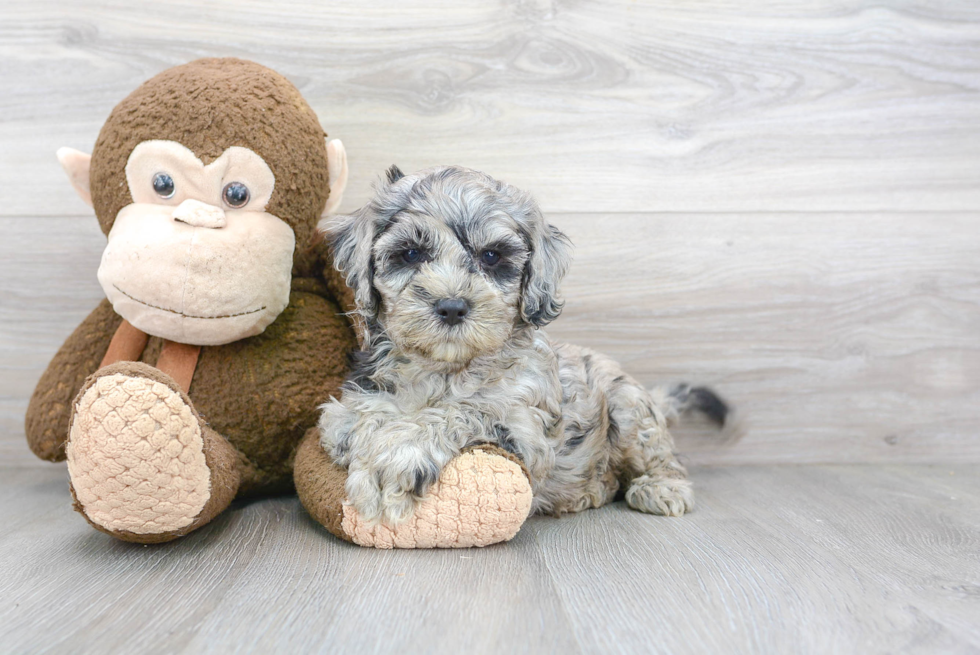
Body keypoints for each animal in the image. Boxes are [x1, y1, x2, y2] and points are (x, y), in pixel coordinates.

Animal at [318, 165, 724, 528]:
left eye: (491, 256)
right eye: (411, 254)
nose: (452, 307)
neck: (446, 369)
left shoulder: (524, 429)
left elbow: (458, 412)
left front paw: (394, 459)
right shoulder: (353, 400)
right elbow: (347, 419)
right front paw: (369, 434)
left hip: (630, 408)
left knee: (661, 456)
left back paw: (662, 489)